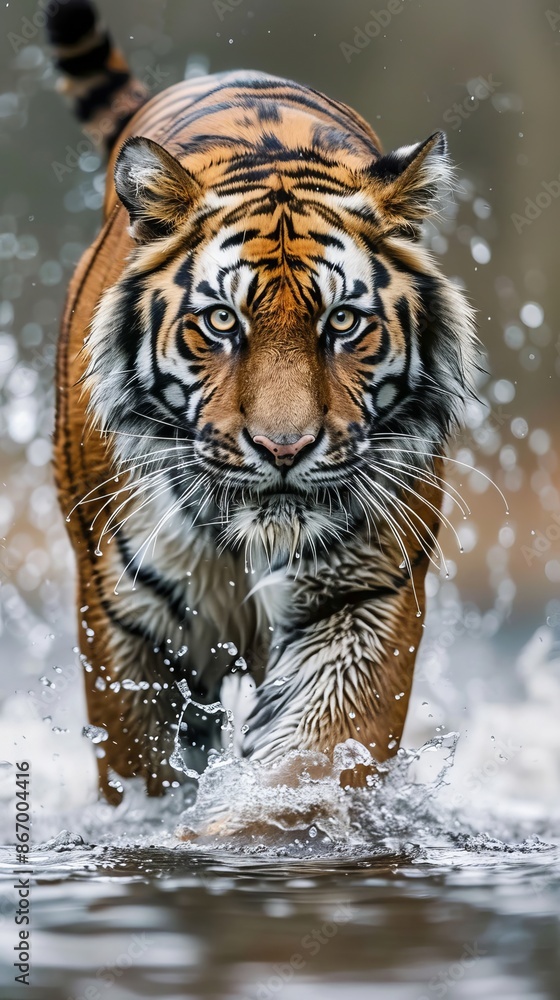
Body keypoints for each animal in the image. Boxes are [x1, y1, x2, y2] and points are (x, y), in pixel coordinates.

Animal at [47, 1, 477, 804]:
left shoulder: (361, 598)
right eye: (222, 322)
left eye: (342, 322)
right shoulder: (126, 622)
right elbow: (142, 775)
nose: (284, 449)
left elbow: (306, 766)